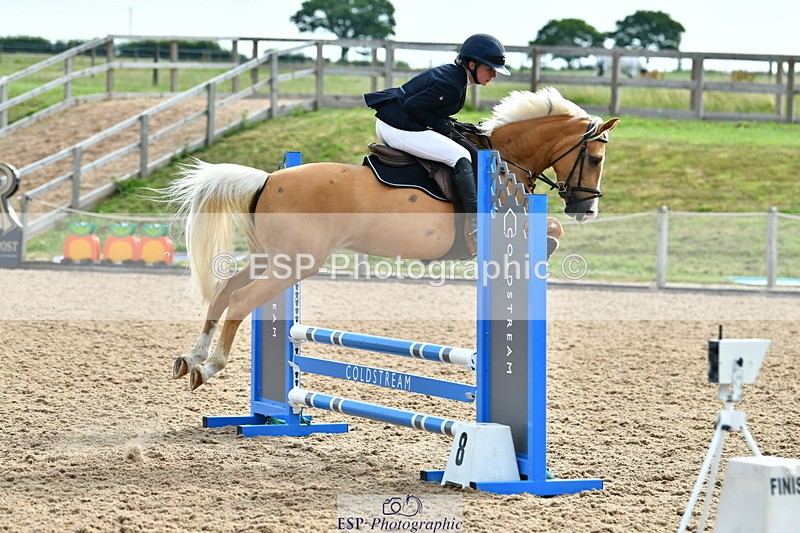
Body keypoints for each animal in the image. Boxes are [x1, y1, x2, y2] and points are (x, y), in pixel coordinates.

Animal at [165, 87, 619, 391]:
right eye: (595, 158)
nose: (586, 210)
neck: (506, 161)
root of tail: (267, 178)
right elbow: (552, 231)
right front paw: (547, 249)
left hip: (270, 258)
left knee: (224, 290)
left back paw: (192, 358)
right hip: (293, 264)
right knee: (241, 300)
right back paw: (210, 366)